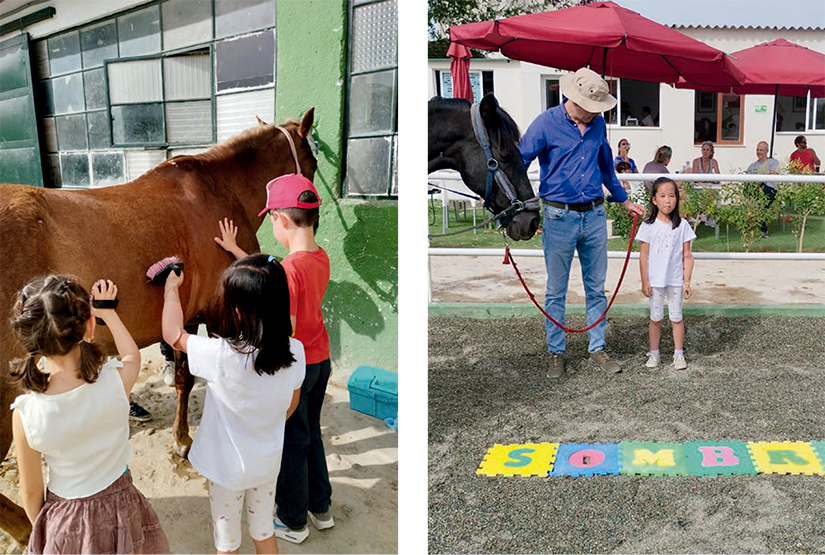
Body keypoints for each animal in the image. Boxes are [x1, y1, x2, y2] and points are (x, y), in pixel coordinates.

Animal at [0, 109, 316, 548]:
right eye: (313, 162)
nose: (315, 208)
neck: (218, 188)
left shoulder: (186, 314)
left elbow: (183, 377)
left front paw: (181, 440)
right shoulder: (218, 317)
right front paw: (190, 442)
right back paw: (27, 528)